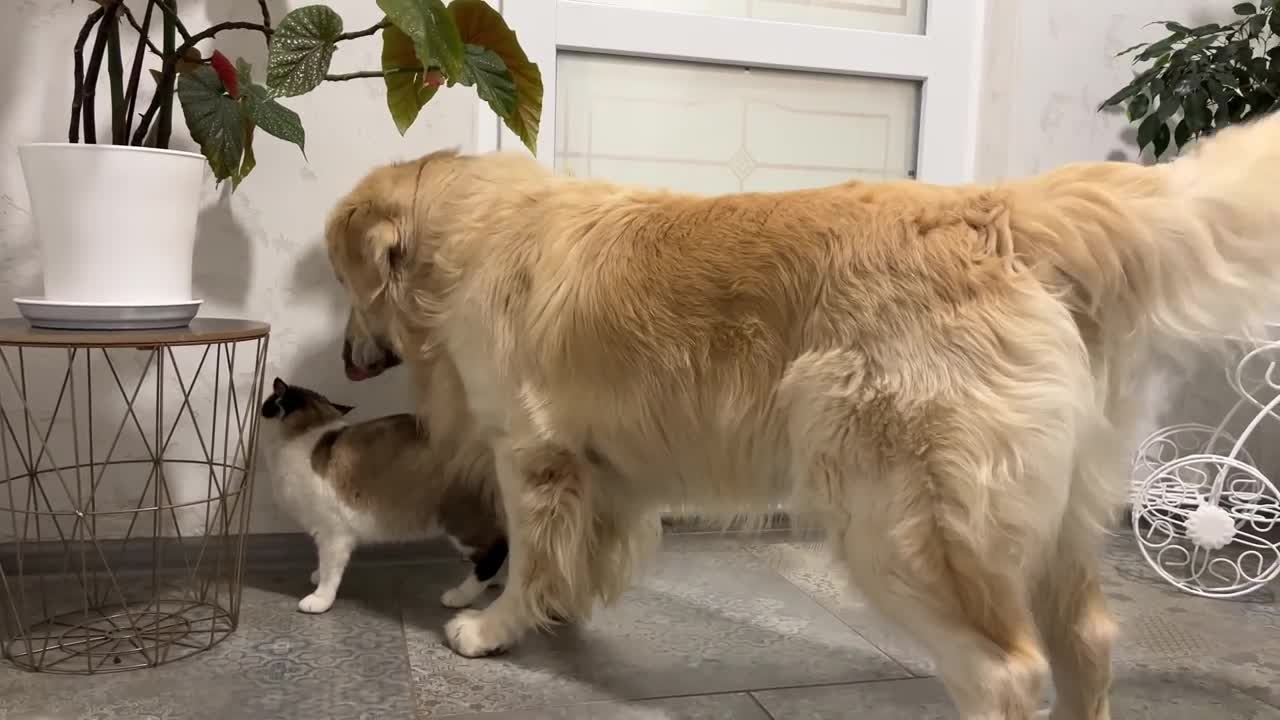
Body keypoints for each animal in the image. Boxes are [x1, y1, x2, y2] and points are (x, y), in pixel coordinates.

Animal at [258, 376, 504, 609]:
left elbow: (329, 572)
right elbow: (323, 567)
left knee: (495, 554)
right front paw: (316, 576)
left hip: (463, 524)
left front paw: (319, 599)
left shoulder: (333, 535)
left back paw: (460, 596)